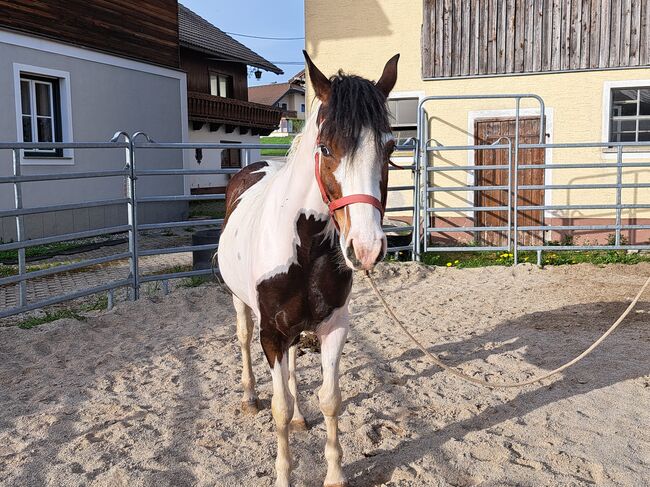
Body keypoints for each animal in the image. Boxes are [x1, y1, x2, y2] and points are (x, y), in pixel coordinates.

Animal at [218, 51, 398, 486]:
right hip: (240, 304)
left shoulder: (333, 327)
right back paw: (249, 397)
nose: (366, 248)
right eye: (326, 148)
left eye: (389, 148)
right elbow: (278, 408)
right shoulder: (271, 333)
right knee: (244, 341)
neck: (304, 246)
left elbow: (330, 399)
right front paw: (284, 476)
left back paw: (301, 416)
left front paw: (334, 474)